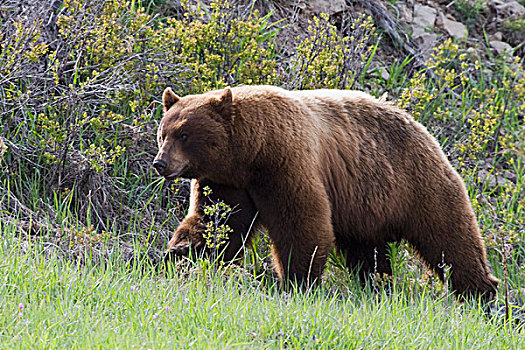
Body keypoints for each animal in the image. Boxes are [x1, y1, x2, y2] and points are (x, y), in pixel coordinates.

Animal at [154, 84, 498, 298]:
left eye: (184, 135)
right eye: (163, 133)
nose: (160, 163)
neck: (250, 153)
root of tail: (422, 127)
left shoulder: (285, 163)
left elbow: (302, 221)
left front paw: (295, 281)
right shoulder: (227, 182)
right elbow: (218, 222)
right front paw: (179, 252)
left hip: (417, 184)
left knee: (450, 238)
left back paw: (481, 293)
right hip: (366, 204)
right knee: (368, 251)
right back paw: (376, 285)